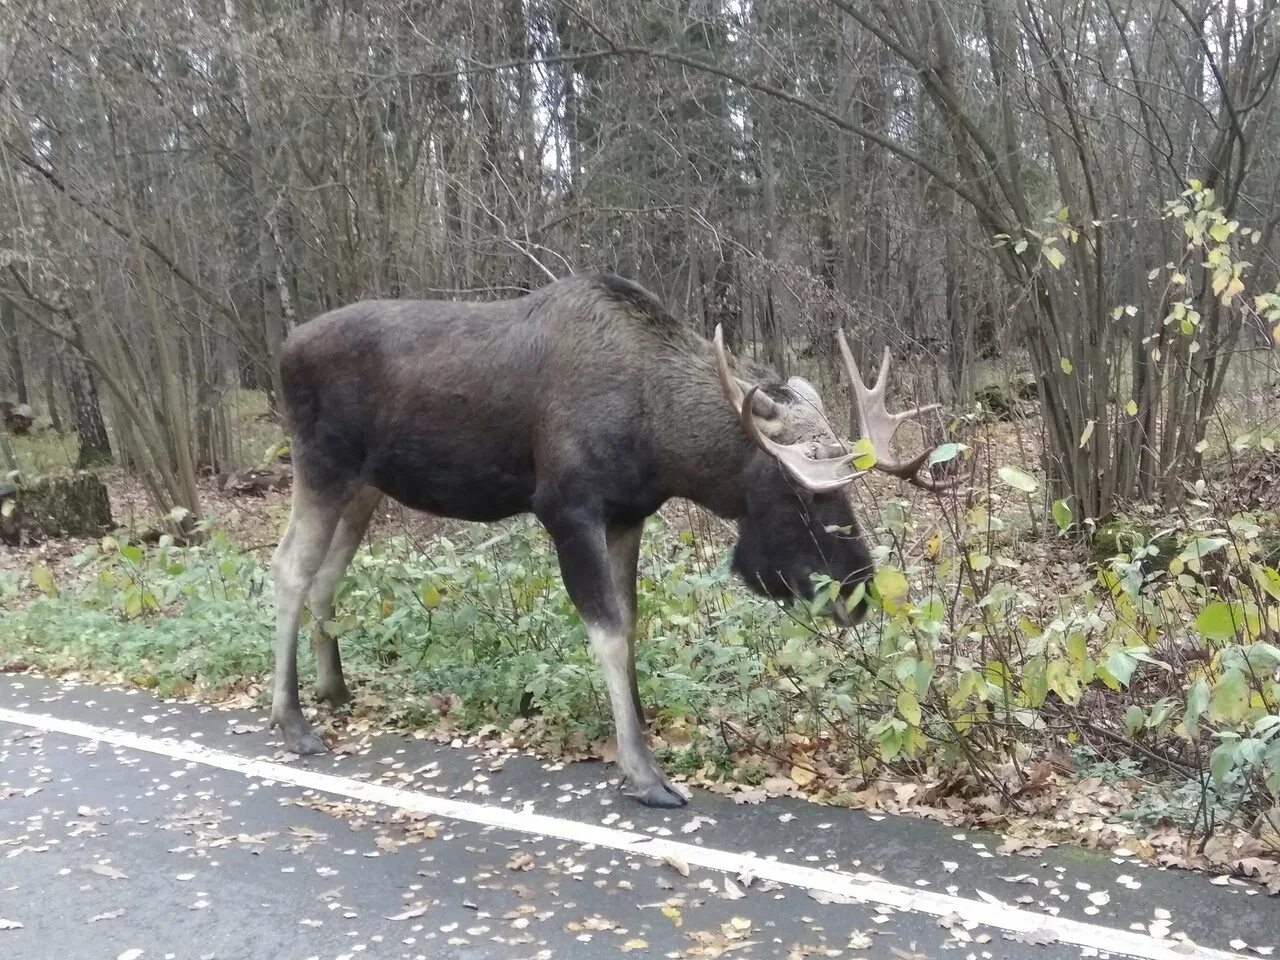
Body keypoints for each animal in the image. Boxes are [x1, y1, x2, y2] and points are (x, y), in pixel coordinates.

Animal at [275, 273, 962, 808]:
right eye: (801, 489)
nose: (857, 588)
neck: (662, 438)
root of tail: (283, 349)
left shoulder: (629, 515)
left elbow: (630, 627)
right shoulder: (566, 509)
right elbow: (605, 632)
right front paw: (643, 773)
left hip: (365, 485)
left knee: (326, 577)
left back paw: (333, 691)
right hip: (320, 464)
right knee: (289, 570)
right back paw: (293, 721)